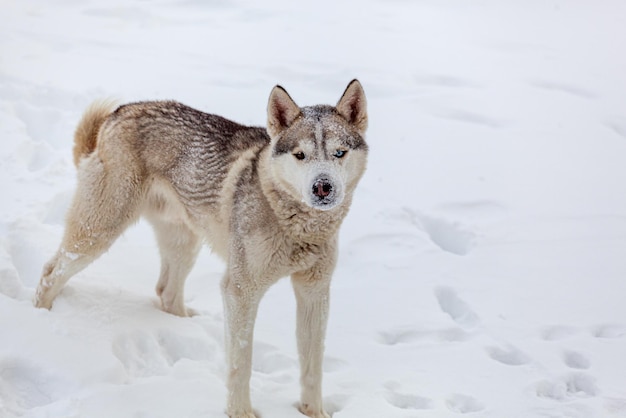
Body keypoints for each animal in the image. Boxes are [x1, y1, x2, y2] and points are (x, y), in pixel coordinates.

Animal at [33, 80, 366, 416]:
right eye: (300, 155)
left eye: (340, 153)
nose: (322, 187)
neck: (295, 223)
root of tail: (121, 111)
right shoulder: (240, 290)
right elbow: (240, 362)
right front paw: (240, 412)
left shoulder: (314, 291)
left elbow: (313, 364)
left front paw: (314, 412)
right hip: (99, 231)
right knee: (50, 271)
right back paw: (40, 318)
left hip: (185, 242)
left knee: (166, 292)